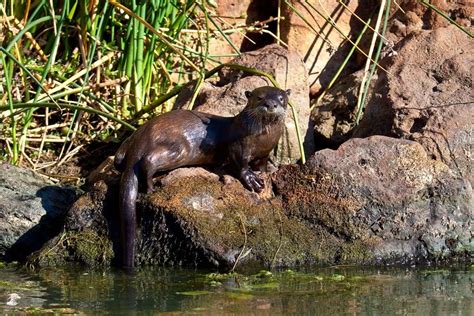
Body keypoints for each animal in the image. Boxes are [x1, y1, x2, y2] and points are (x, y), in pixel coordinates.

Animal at [115, 85, 292, 268]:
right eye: (259, 97)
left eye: (281, 98)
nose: (271, 104)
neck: (264, 138)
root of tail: (141, 138)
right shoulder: (239, 145)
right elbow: (240, 165)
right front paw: (252, 180)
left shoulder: (265, 152)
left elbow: (261, 165)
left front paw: (265, 172)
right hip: (179, 147)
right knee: (149, 160)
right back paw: (150, 185)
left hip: (128, 146)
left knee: (119, 159)